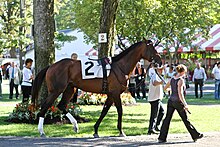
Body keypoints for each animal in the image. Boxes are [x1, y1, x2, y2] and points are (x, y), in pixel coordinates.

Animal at [31, 38, 162, 137]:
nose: (160, 61)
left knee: (61, 105)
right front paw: (121, 131)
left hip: (70, 89)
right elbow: (120, 110)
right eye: (152, 48)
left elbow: (104, 111)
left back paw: (75, 125)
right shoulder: (115, 93)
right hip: (56, 90)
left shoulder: (110, 94)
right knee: (45, 106)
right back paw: (41, 131)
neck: (119, 66)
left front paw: (95, 130)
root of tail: (51, 66)